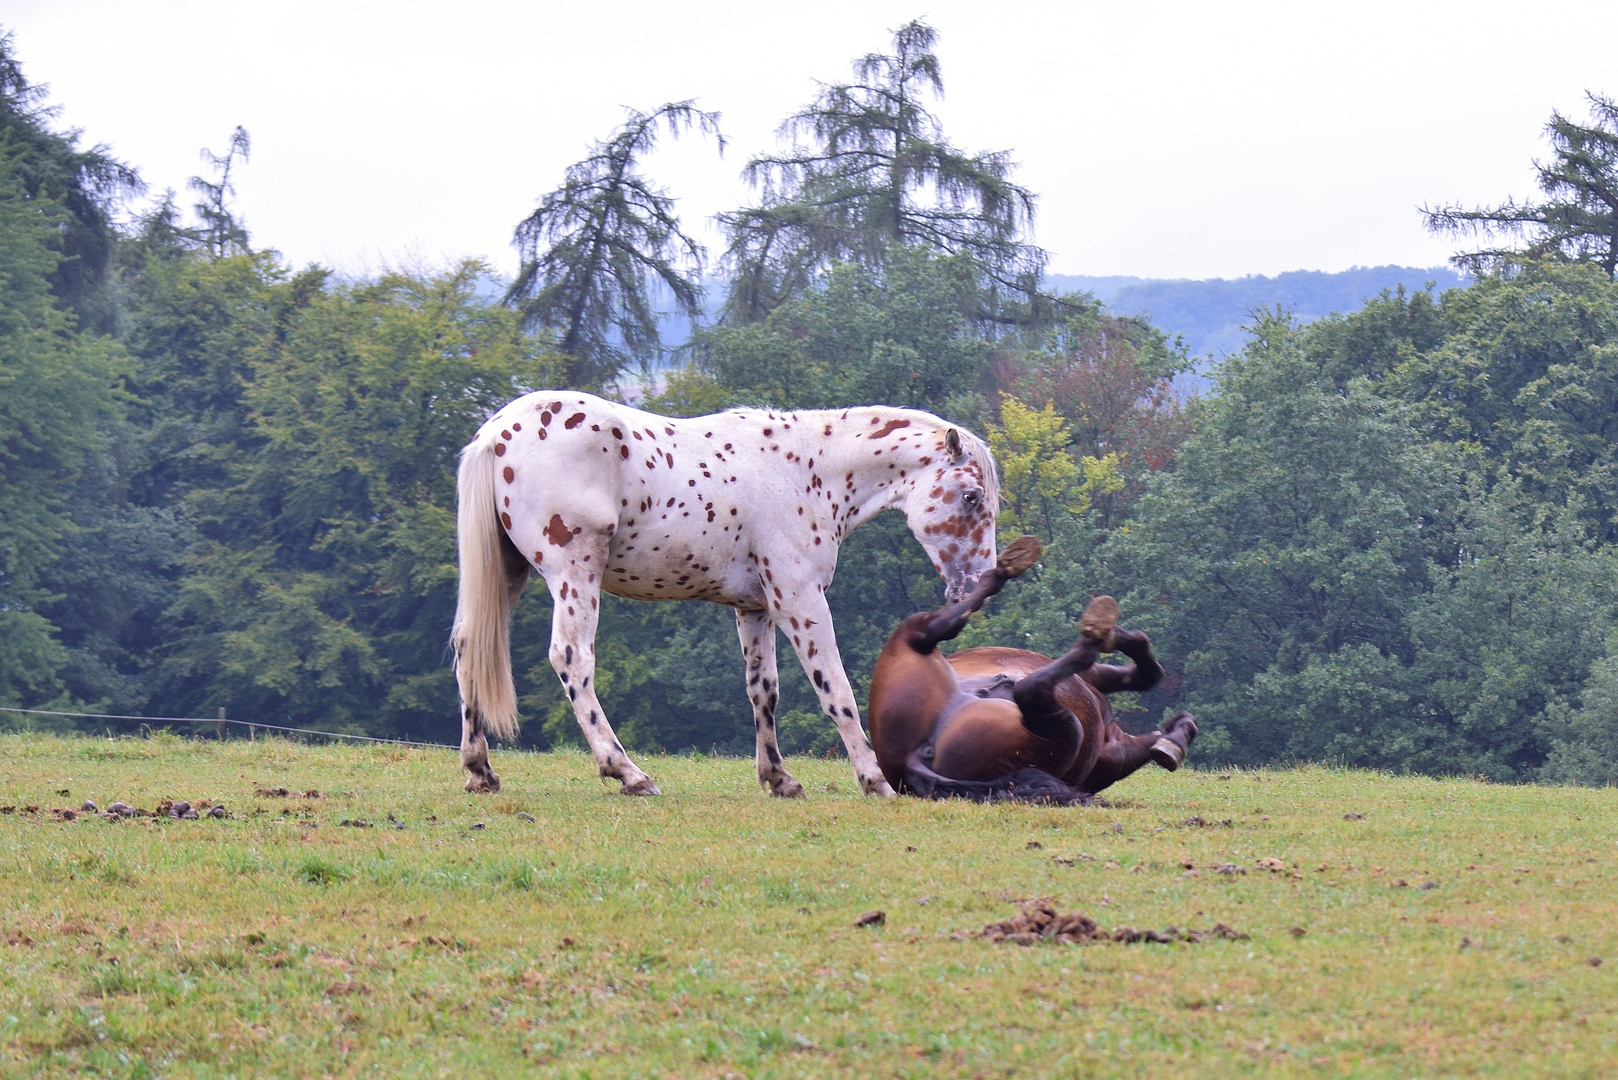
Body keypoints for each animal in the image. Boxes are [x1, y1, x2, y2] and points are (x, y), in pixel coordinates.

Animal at [453, 393, 996, 799]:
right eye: (971, 497)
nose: (978, 585)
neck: (806, 470)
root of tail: (495, 436)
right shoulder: (801, 600)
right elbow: (835, 690)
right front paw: (874, 779)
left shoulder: (755, 608)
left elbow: (763, 689)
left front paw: (778, 777)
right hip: (574, 572)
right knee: (571, 658)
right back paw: (627, 772)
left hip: (509, 574)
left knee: (468, 648)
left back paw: (480, 771)